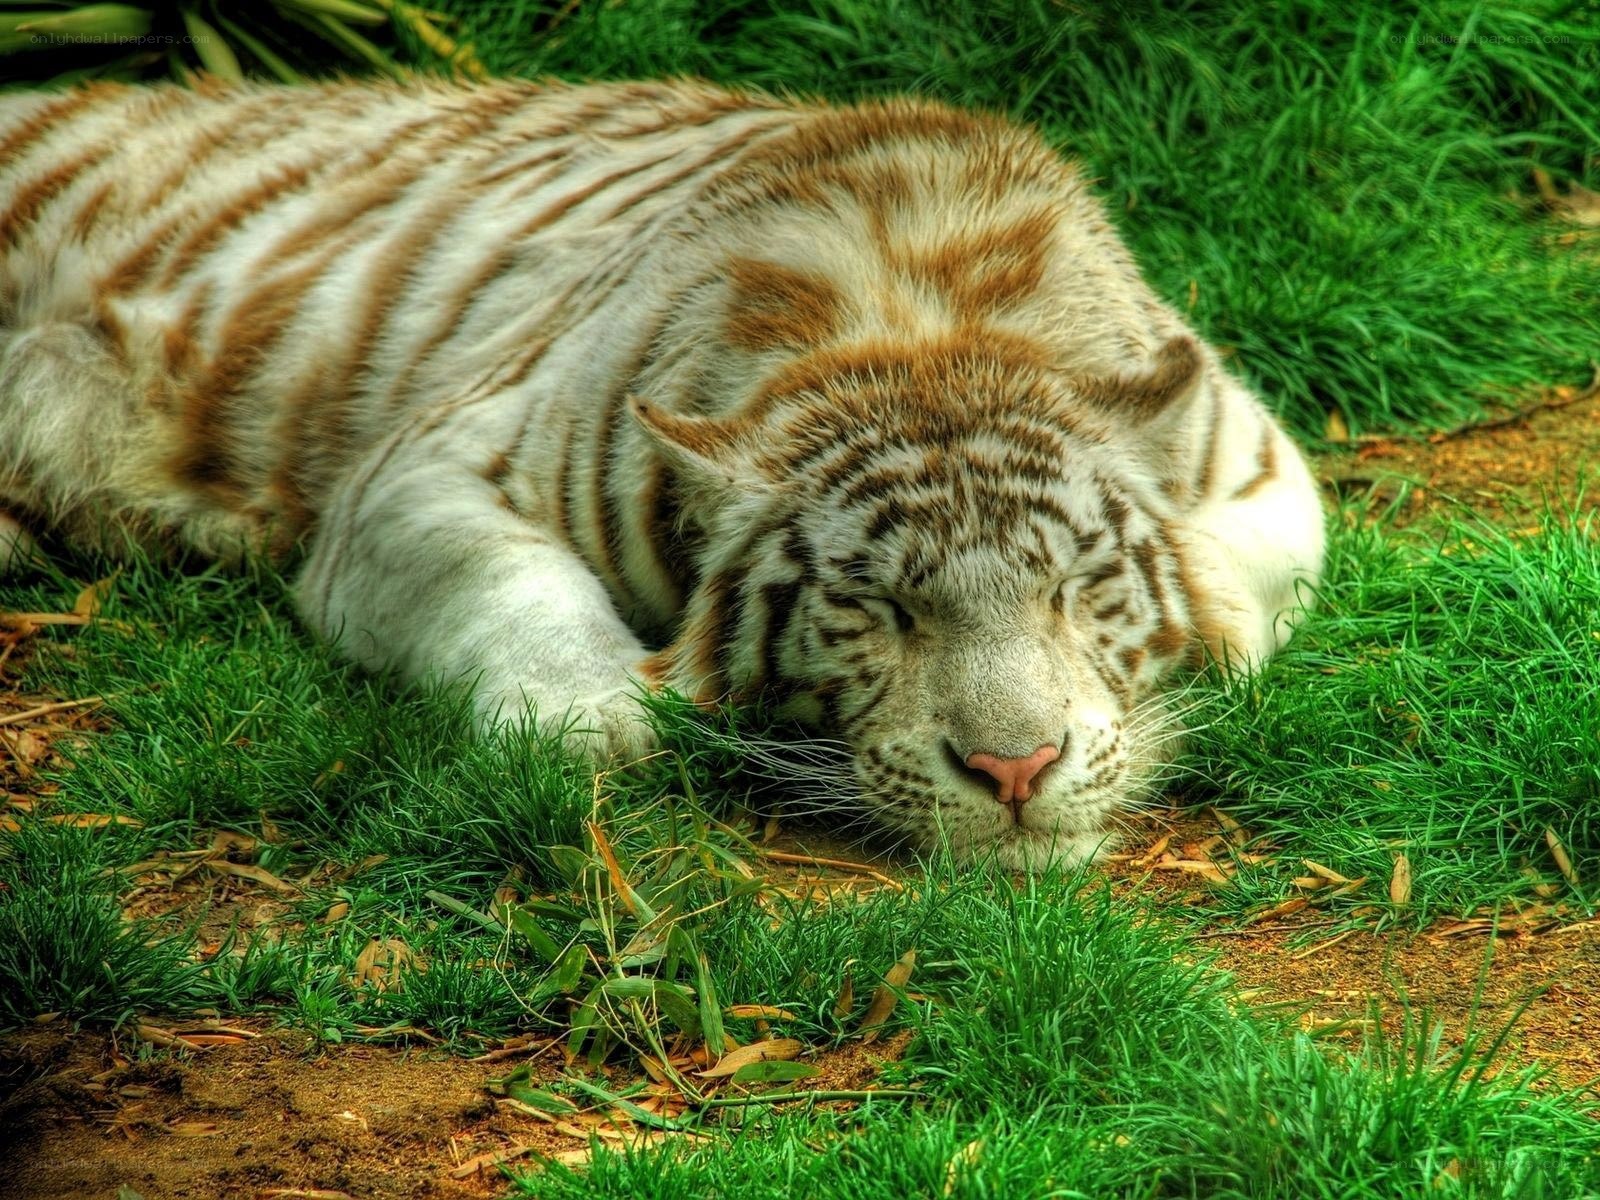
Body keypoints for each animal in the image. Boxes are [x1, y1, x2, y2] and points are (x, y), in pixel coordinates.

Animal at [0, 78, 1325, 869]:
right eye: (878, 609)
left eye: (1071, 590)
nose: (1014, 770)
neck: (916, 326)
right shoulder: (430, 467)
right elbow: (507, 585)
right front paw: (591, 724)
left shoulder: (1259, 456)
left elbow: (1233, 580)